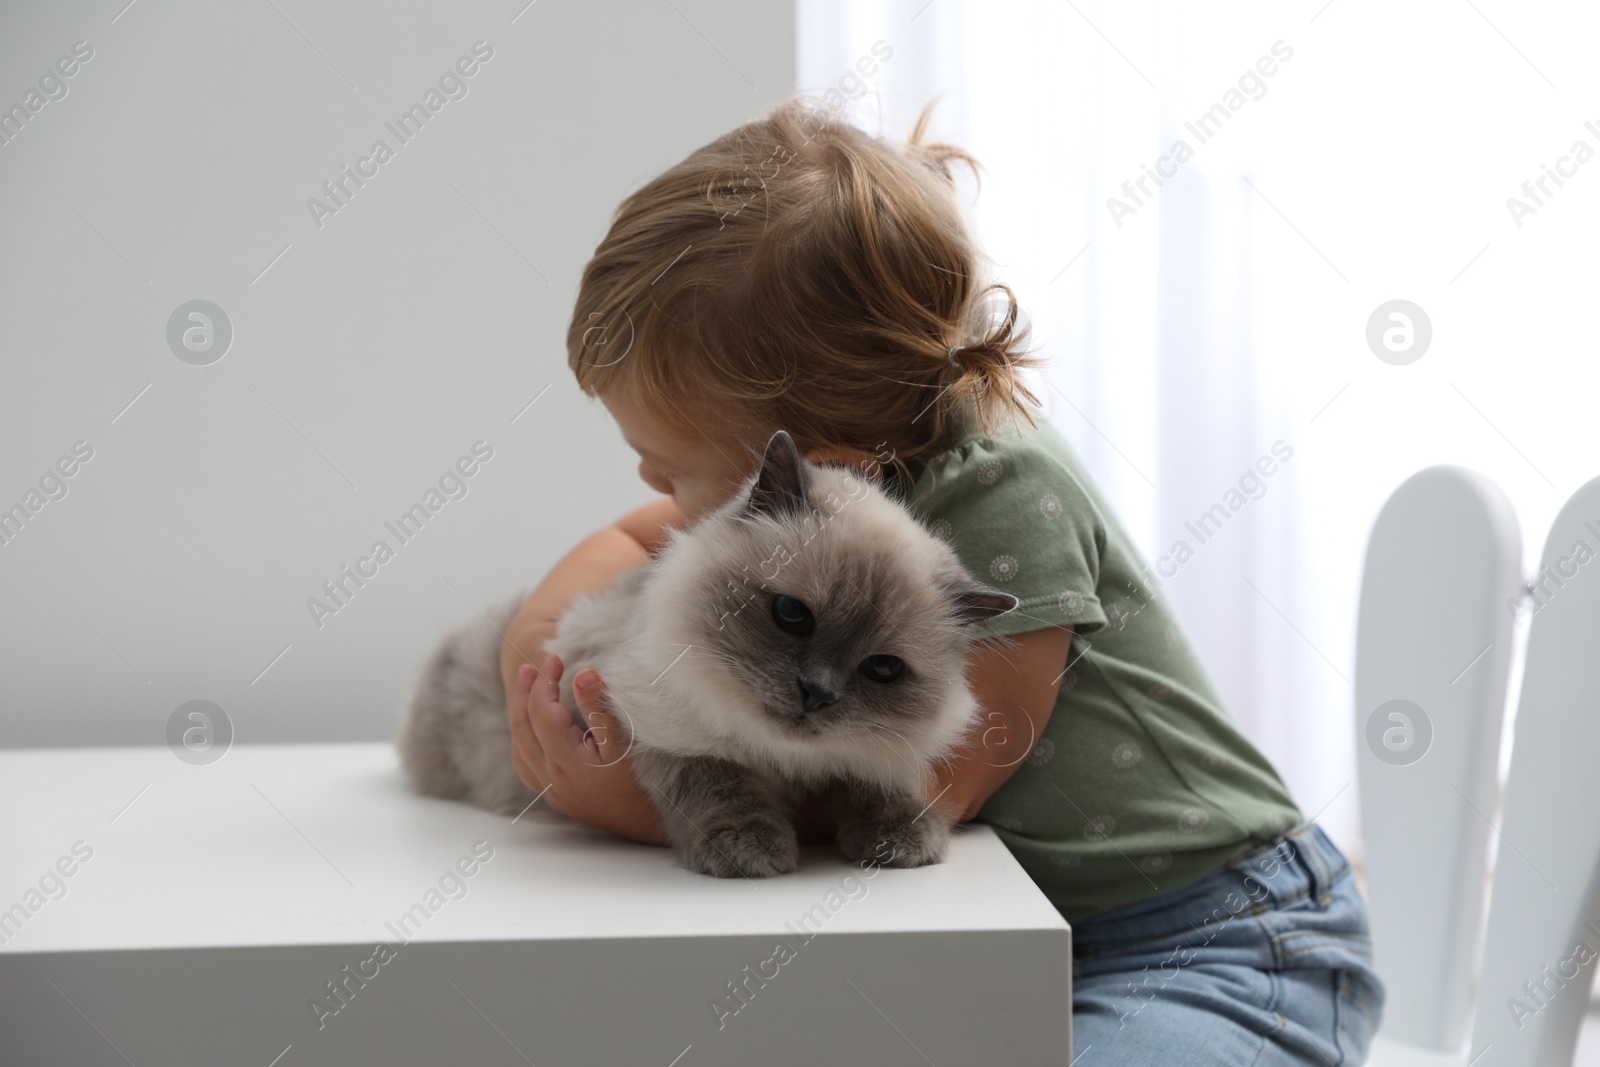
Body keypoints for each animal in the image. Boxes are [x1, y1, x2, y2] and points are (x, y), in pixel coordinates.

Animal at [395, 428, 1017, 883]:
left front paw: (903, 843)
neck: (782, 758)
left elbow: (881, 782)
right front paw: (752, 849)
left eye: (882, 669)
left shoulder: (877, 754)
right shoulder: (650, 725)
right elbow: (718, 780)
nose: (816, 693)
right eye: (792, 615)